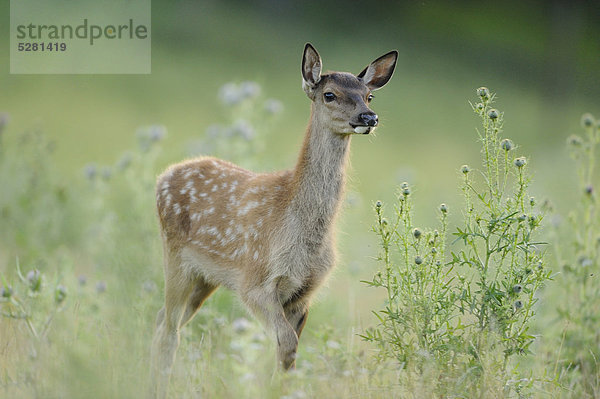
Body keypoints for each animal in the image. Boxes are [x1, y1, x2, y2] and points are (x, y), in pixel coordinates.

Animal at [150, 42, 396, 398]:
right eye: (330, 94)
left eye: (369, 96)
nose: (368, 117)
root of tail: (164, 175)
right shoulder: (255, 282)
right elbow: (286, 345)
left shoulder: (304, 293)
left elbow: (287, 357)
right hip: (175, 256)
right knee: (169, 331)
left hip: (204, 277)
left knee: (161, 320)